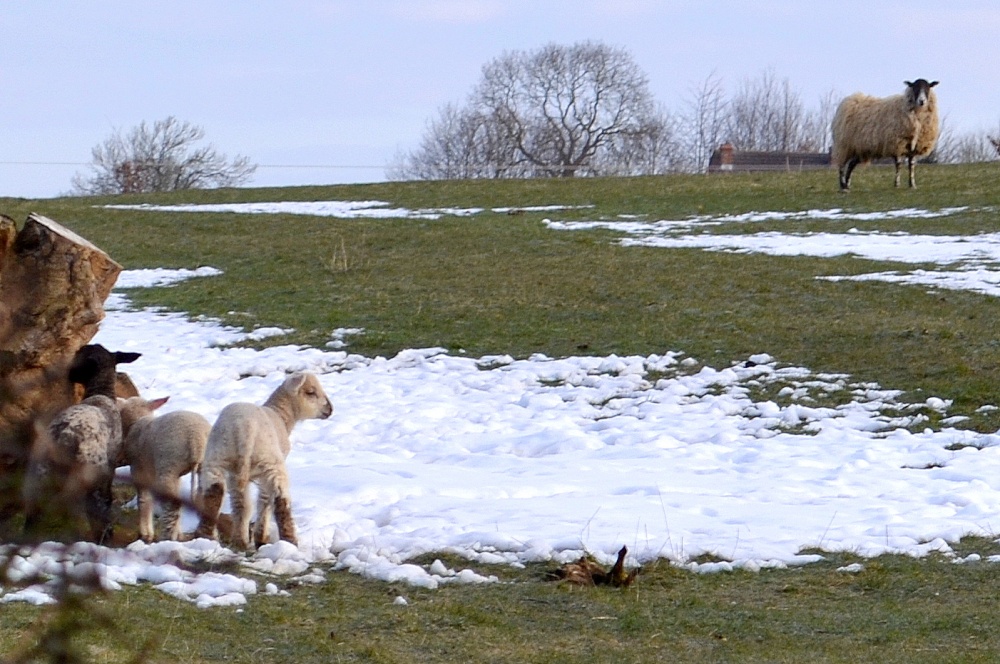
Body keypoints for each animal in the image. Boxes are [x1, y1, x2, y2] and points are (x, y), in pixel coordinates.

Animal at [22, 344, 141, 543]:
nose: (68, 375)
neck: (100, 393)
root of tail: (63, 436)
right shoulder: (110, 466)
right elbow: (107, 498)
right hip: (91, 472)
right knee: (95, 509)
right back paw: (104, 537)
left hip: (38, 474)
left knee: (32, 515)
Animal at [118, 395, 212, 542]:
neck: (138, 421)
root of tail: (196, 441)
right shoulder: (175, 475)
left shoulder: (138, 468)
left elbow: (144, 500)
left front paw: (145, 533)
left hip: (168, 465)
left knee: (172, 506)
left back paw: (166, 538)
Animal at [194, 372, 332, 549]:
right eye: (311, 392)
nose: (330, 409)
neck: (281, 415)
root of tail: (244, 428)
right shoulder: (264, 471)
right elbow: (264, 501)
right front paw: (261, 537)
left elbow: (246, 505)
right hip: (270, 462)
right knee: (280, 500)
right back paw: (289, 542)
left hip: (217, 457)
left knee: (218, 496)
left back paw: (214, 538)